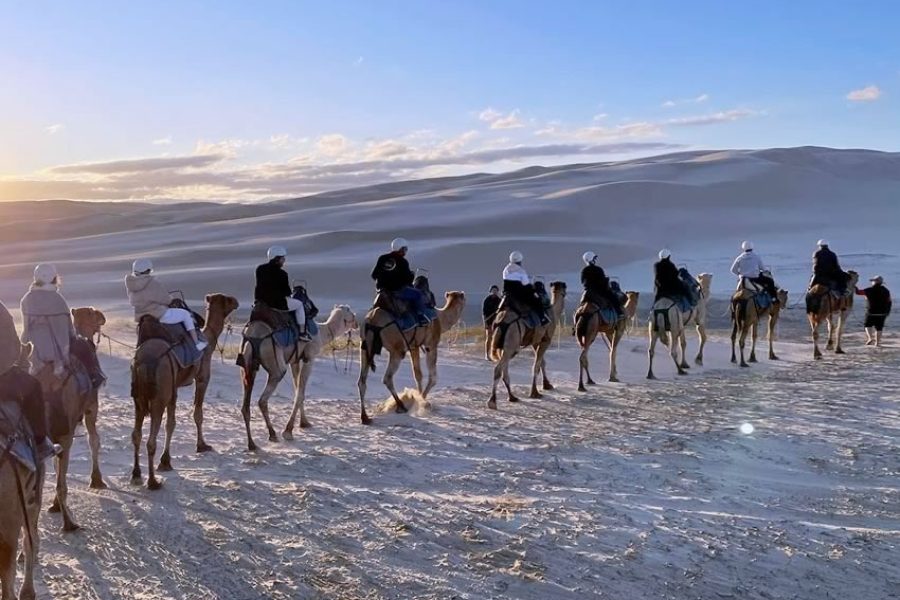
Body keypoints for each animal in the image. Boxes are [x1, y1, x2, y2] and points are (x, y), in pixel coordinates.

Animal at [130, 292, 237, 490]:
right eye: (226, 299)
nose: (236, 301)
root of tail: (144, 361)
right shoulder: (202, 378)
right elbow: (196, 413)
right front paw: (201, 446)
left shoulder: (174, 389)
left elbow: (171, 423)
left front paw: (166, 461)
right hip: (159, 396)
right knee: (150, 440)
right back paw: (153, 481)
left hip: (138, 397)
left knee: (136, 434)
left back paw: (136, 475)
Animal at [243, 304, 362, 450]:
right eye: (350, 311)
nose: (357, 323)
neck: (322, 333)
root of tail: (254, 334)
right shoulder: (309, 358)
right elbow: (300, 393)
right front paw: (288, 431)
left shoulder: (294, 360)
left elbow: (297, 389)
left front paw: (304, 423)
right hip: (274, 361)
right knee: (263, 399)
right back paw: (272, 434)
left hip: (248, 363)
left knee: (246, 403)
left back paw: (252, 444)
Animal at [356, 290, 468, 422]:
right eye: (463, 298)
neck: (440, 317)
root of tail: (372, 320)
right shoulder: (431, 344)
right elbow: (433, 377)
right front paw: (423, 400)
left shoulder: (414, 346)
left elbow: (417, 374)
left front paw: (419, 397)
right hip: (396, 349)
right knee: (387, 378)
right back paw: (401, 406)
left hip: (364, 345)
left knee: (362, 381)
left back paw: (365, 417)